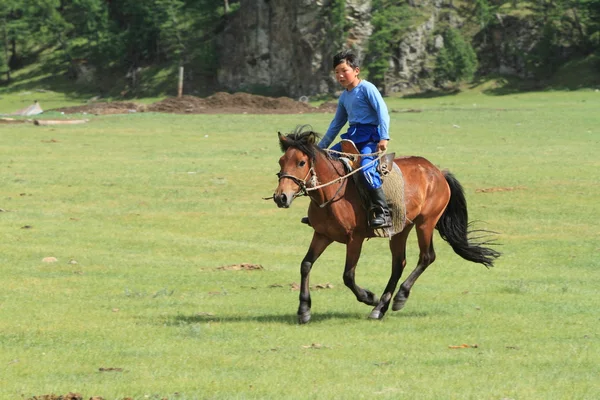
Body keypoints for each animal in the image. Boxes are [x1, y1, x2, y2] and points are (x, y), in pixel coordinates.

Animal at [274, 126, 500, 324]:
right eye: (281, 161)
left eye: (301, 162)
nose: (280, 197)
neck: (333, 192)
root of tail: (437, 171)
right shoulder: (322, 235)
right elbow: (306, 265)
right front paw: (304, 310)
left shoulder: (354, 239)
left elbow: (348, 275)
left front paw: (368, 297)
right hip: (401, 229)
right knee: (398, 264)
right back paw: (380, 308)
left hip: (425, 223)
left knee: (426, 257)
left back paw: (397, 298)